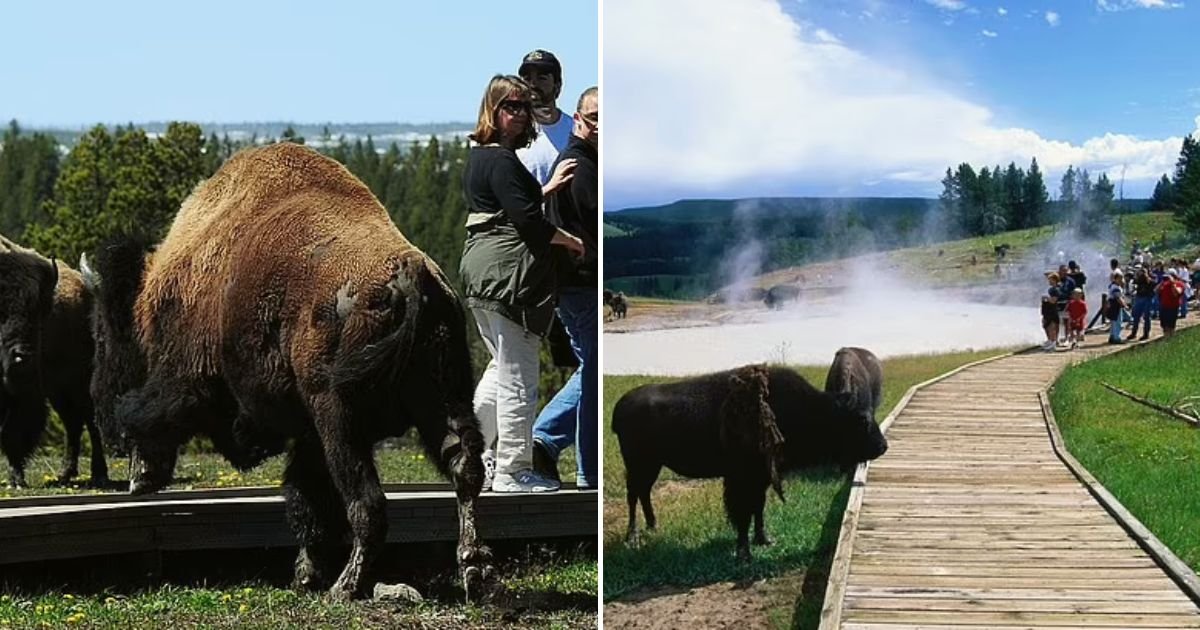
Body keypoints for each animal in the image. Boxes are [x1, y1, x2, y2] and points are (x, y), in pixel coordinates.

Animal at [0, 235, 108, 487]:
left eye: (37, 313)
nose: (22, 356)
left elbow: (13, 433)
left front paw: (16, 479)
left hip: (79, 383)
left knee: (89, 422)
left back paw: (98, 475)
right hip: (58, 390)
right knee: (73, 423)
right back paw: (66, 473)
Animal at [87, 142, 492, 600]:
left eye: (103, 338)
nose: (104, 413)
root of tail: (410, 273)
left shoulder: (188, 377)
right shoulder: (308, 434)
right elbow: (306, 499)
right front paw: (305, 573)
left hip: (340, 418)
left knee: (367, 504)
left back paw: (345, 587)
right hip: (445, 397)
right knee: (463, 470)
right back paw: (474, 572)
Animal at [614, 362, 888, 559]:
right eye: (862, 419)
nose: (883, 446)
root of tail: (620, 407)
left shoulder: (762, 477)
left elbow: (758, 507)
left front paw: (764, 540)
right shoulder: (744, 479)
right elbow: (744, 511)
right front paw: (744, 552)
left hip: (651, 466)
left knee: (643, 493)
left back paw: (652, 526)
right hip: (639, 465)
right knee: (633, 495)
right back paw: (633, 537)